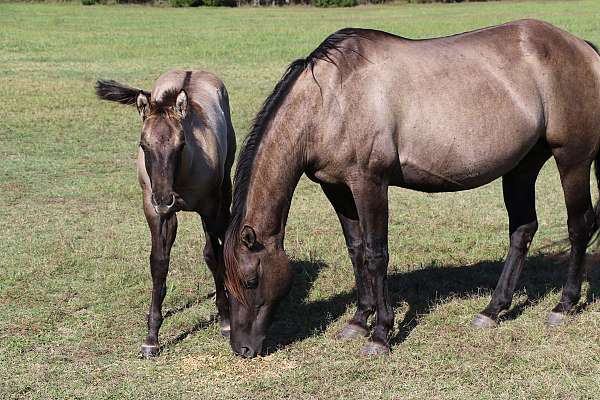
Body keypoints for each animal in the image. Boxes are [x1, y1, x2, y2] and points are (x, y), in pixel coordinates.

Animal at [95, 70, 236, 358]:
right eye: (143, 145)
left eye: (181, 145)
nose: (163, 199)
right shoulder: (157, 214)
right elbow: (159, 263)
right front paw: (152, 336)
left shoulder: (209, 208)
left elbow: (214, 255)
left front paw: (227, 320)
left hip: (223, 189)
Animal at [223, 20, 600, 358]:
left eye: (252, 280)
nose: (243, 349)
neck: (331, 100)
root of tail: (582, 47)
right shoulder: (337, 188)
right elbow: (356, 250)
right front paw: (358, 321)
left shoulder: (370, 183)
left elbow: (376, 254)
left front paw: (380, 335)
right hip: (522, 167)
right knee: (522, 230)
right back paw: (493, 310)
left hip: (572, 161)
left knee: (579, 226)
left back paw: (563, 305)